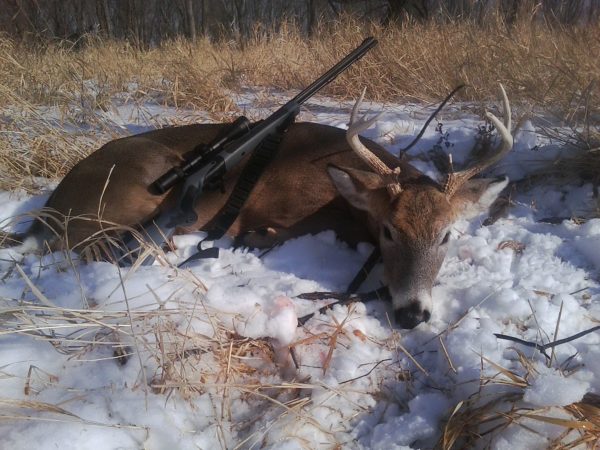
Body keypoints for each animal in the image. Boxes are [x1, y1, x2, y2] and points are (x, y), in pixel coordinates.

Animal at [14, 86, 512, 328]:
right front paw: (256, 236)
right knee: (91, 244)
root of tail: (50, 208)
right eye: (390, 230)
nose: (412, 314)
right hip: (134, 187)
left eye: (447, 234)